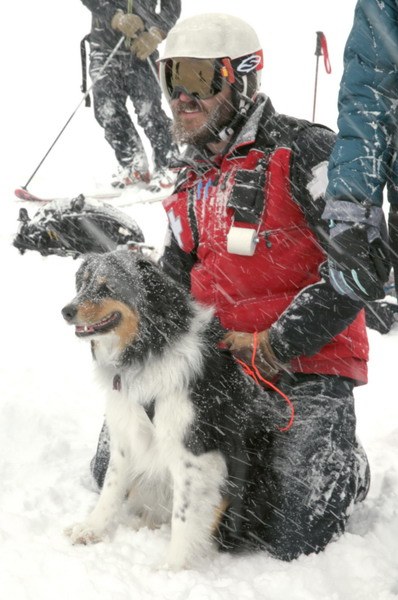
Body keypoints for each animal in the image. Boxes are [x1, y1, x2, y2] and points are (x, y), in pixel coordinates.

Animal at [61, 251, 286, 568]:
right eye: (82, 284)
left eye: (107, 287)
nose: (66, 311)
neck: (148, 351)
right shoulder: (125, 434)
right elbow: (111, 489)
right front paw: (92, 528)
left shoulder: (194, 450)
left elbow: (185, 514)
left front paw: (173, 567)